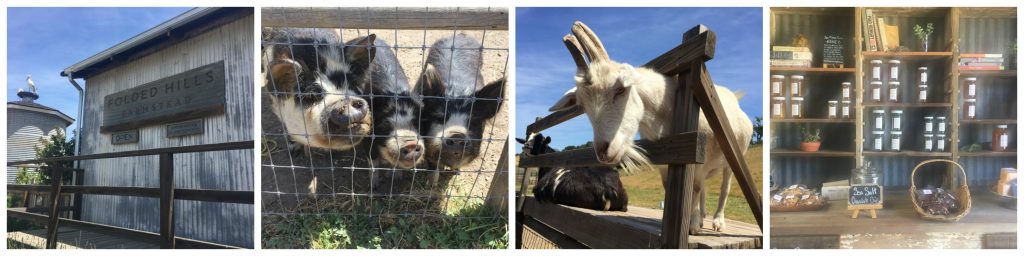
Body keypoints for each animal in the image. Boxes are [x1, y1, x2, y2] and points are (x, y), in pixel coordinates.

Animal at [548, 22, 757, 234]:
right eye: (583, 105)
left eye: (620, 89)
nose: (603, 151)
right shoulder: (668, 162)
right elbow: (672, 186)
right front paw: (682, 221)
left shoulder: (698, 153)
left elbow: (696, 188)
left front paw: (691, 225)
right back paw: (702, 218)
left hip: (733, 156)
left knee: (724, 186)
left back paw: (717, 222)